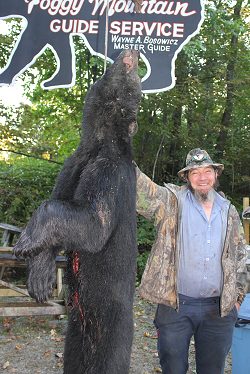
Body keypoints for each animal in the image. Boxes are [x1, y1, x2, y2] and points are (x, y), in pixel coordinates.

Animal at [14, 49, 143, 374]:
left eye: (135, 92)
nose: (133, 53)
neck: (97, 144)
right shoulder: (71, 165)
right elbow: (61, 201)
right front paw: (40, 275)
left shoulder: (111, 172)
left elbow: (94, 223)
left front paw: (25, 242)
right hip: (74, 334)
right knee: (73, 357)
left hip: (114, 328)